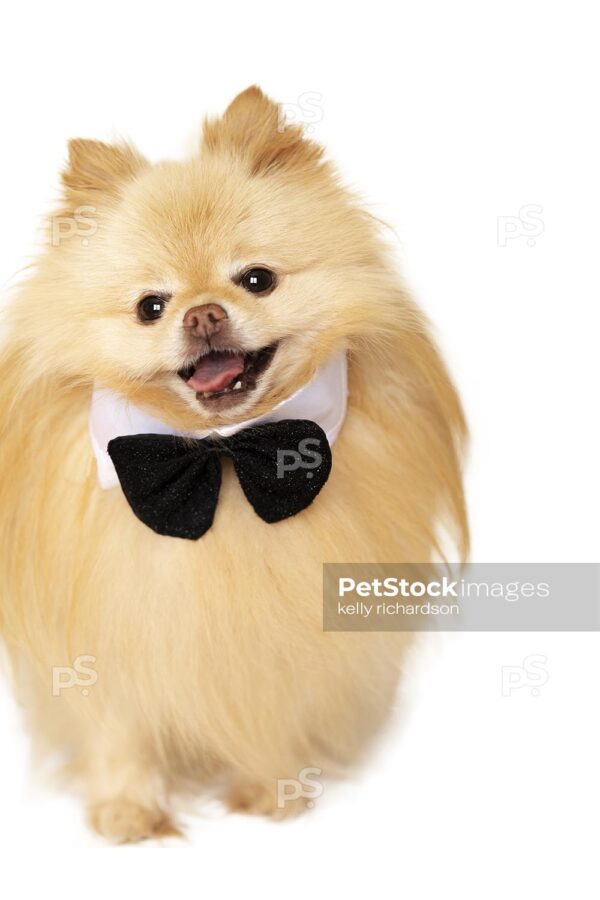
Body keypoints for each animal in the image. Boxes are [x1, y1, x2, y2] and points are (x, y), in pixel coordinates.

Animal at [0, 88, 468, 840]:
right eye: (150, 307)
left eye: (256, 279)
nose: (204, 315)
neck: (220, 453)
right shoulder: (102, 631)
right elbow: (119, 727)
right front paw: (127, 809)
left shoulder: (285, 645)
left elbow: (269, 708)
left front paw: (272, 792)